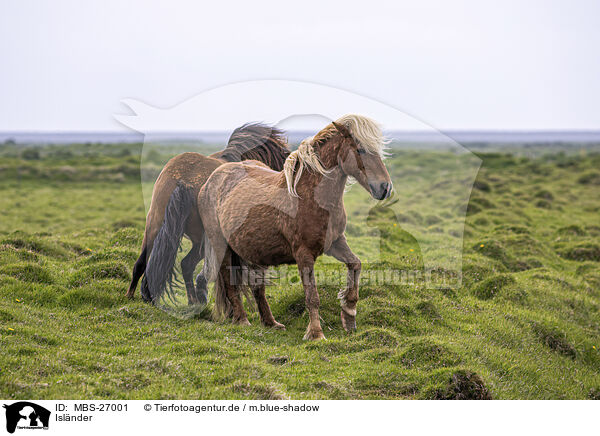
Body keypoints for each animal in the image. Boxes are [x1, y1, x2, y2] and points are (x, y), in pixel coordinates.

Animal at [125, 124, 290, 304]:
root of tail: (183, 181)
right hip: (202, 240)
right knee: (187, 264)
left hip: (154, 225)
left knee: (143, 263)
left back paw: (135, 295)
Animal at [195, 116, 394, 340]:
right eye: (360, 150)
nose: (385, 188)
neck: (310, 197)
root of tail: (213, 179)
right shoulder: (303, 254)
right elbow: (312, 296)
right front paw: (316, 333)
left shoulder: (335, 242)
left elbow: (355, 264)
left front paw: (349, 314)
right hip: (222, 246)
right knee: (230, 283)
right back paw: (242, 320)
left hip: (253, 251)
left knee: (257, 288)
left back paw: (271, 323)